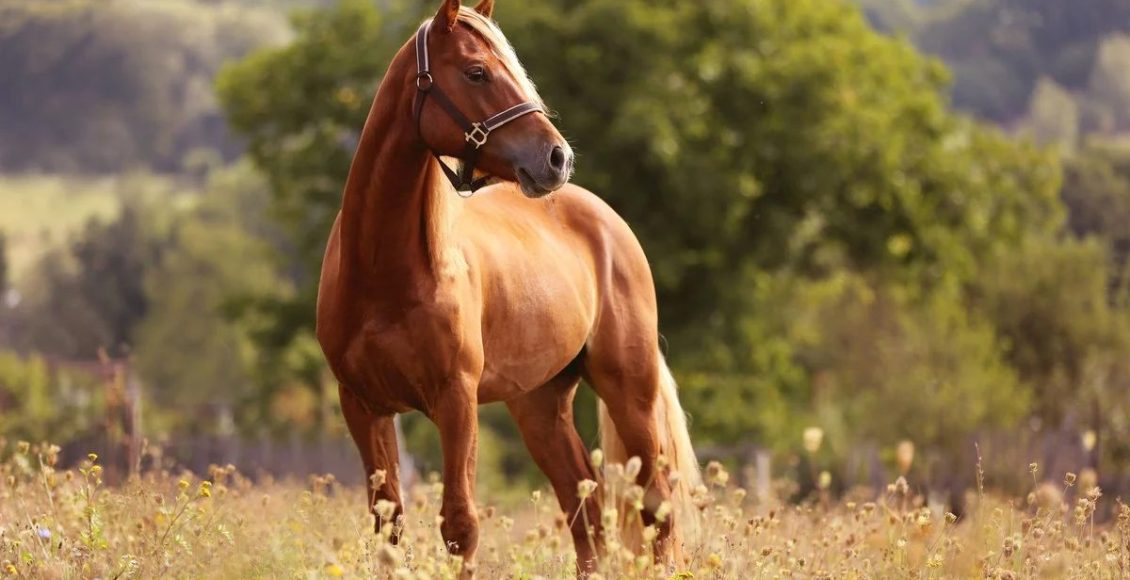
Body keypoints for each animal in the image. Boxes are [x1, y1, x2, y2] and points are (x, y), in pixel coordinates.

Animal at [314, 0, 700, 569]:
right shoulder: (363, 406)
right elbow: (388, 529)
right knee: (585, 512)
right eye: (477, 71)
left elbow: (460, 525)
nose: (557, 158)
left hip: (631, 392)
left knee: (657, 511)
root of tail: (608, 222)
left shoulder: (456, 400)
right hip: (539, 406)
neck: (385, 273)